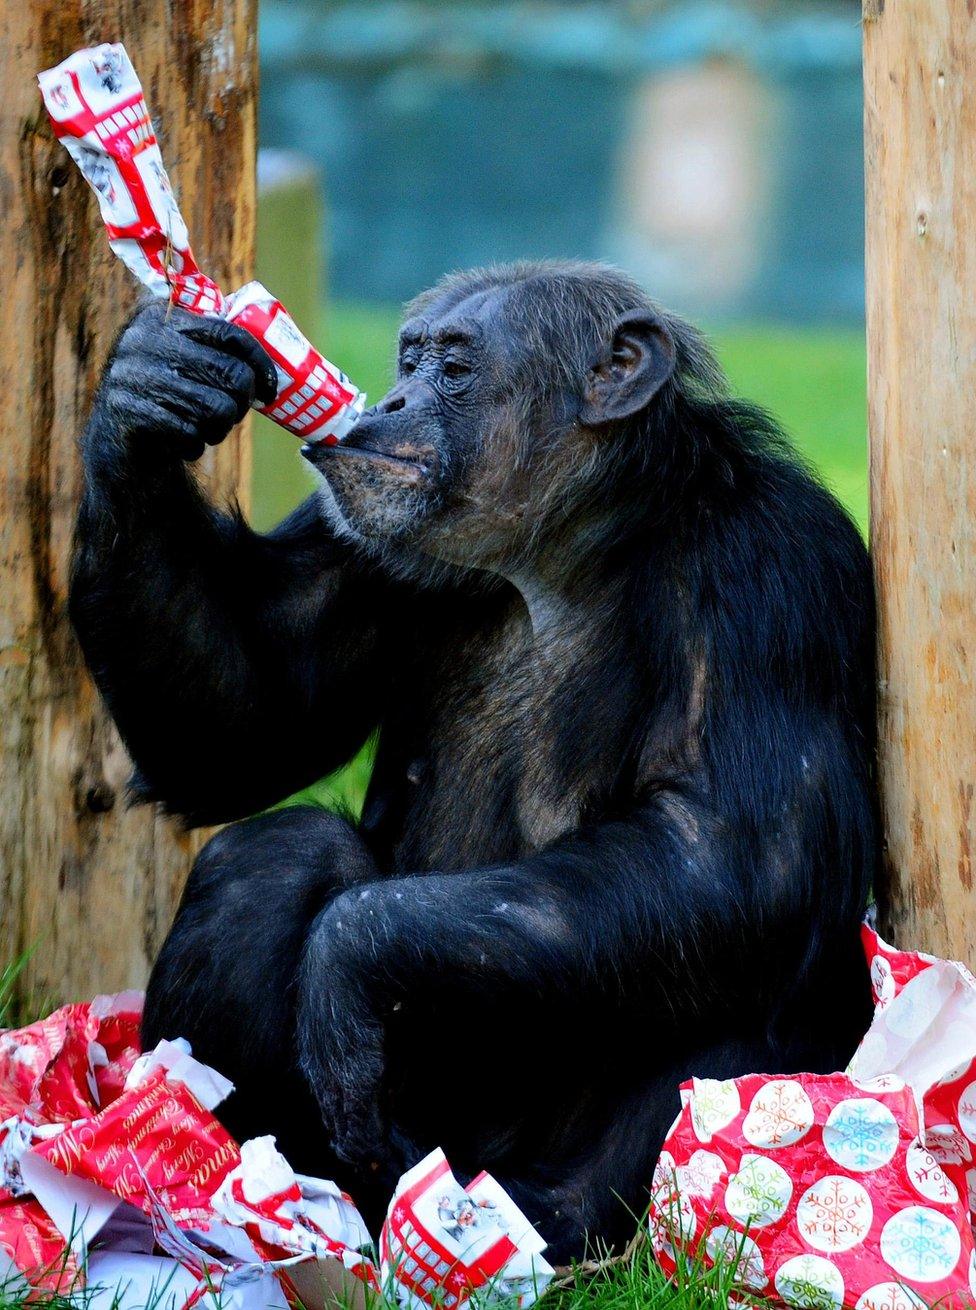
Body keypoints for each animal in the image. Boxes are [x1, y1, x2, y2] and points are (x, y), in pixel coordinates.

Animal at [70, 258, 875, 1257]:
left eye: (454, 369)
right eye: (409, 360)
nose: (392, 399)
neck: (564, 551)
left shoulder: (772, 570)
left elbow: (733, 848)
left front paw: (351, 958)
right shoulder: (353, 533)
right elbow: (242, 720)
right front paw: (148, 385)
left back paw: (548, 1224)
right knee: (273, 855)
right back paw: (247, 1190)